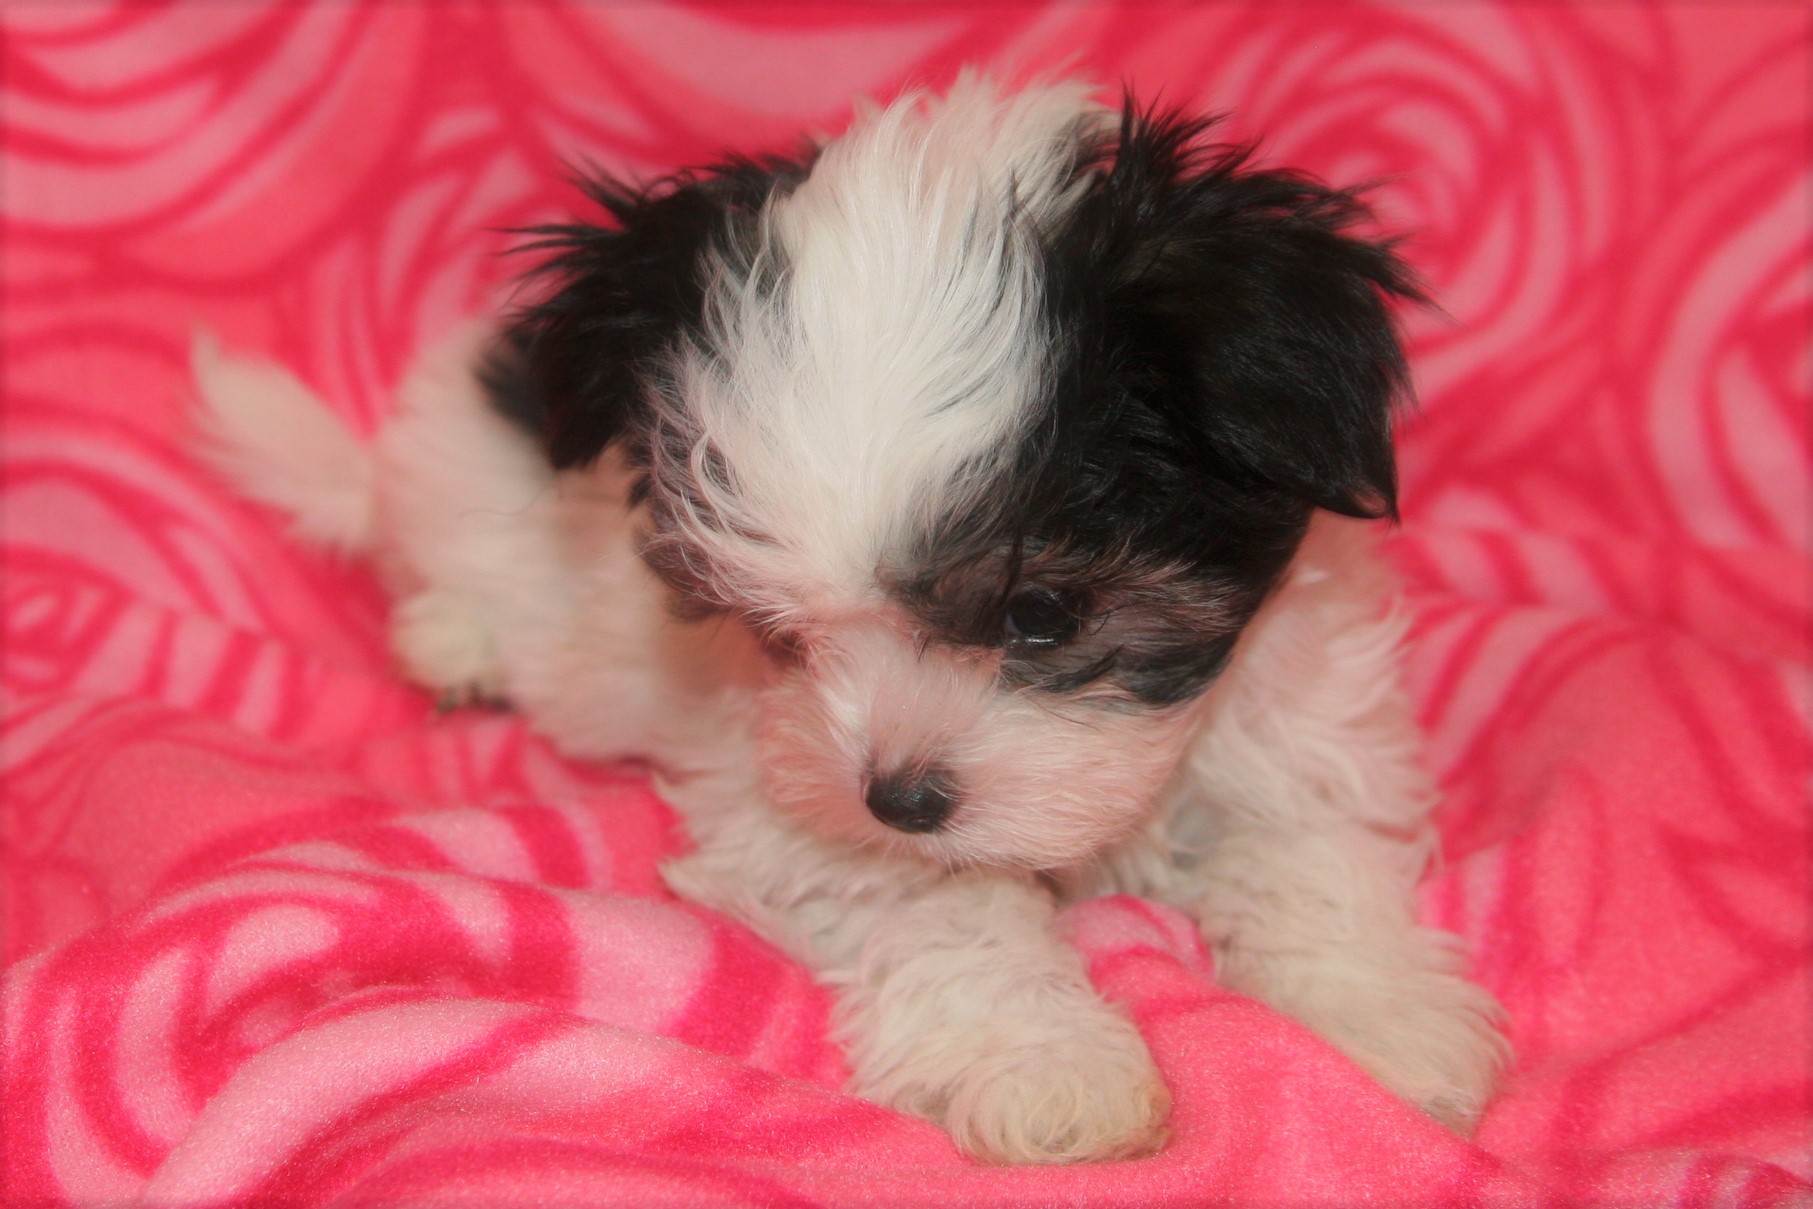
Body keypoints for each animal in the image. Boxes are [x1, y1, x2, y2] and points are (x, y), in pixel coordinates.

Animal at [194, 74, 1506, 1164]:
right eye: (774, 633)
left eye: (1041, 612)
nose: (902, 799)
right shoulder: (783, 788)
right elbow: (938, 903)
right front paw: (1049, 1068)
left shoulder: (1296, 709)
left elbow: (1304, 844)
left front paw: (1382, 1020)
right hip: (474, 490)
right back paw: (453, 642)